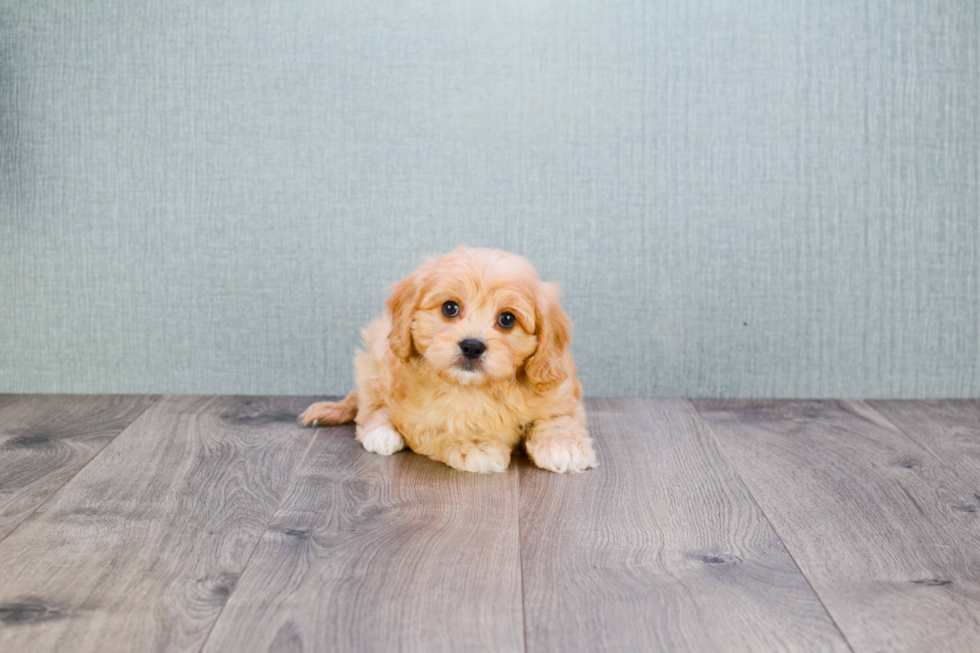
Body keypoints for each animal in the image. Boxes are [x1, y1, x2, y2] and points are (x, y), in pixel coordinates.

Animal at [298, 246, 592, 474]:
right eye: (450, 308)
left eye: (507, 319)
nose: (472, 346)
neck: (480, 388)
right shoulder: (420, 417)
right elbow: (445, 426)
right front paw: (475, 446)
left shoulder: (559, 390)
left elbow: (559, 417)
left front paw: (564, 446)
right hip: (377, 356)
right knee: (370, 404)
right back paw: (380, 431)